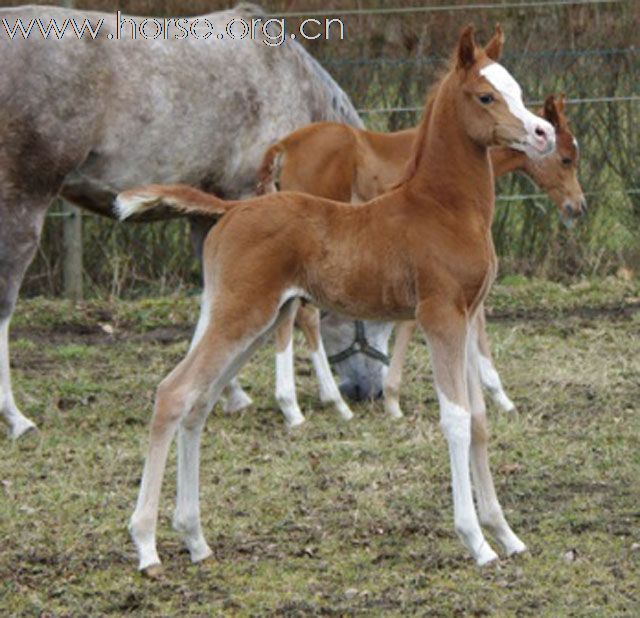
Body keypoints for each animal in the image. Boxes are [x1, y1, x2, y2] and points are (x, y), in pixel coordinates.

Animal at [0, 2, 388, 436]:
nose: (371, 392)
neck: (289, 83)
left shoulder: (211, 216)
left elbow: (210, 301)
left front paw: (226, 393)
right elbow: (297, 314)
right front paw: (306, 402)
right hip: (24, 200)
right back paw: (15, 417)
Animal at [119, 25, 556, 572]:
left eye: (515, 87)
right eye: (485, 96)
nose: (543, 133)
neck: (442, 207)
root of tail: (230, 210)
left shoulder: (467, 314)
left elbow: (479, 420)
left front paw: (506, 534)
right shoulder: (441, 318)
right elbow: (456, 420)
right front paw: (476, 541)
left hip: (252, 321)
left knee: (198, 404)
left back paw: (195, 539)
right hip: (240, 317)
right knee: (173, 394)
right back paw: (146, 545)